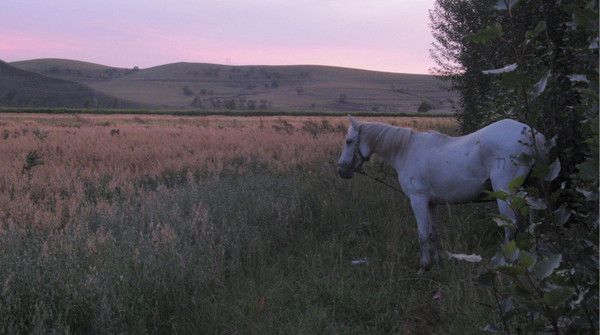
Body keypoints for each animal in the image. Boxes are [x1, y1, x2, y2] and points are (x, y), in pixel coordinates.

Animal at [340, 116, 548, 270]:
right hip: (533, 189)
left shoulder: (418, 200)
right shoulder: (432, 203)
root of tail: (532, 135)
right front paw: (438, 262)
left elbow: (423, 234)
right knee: (534, 219)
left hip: (505, 193)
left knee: (510, 226)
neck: (405, 150)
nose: (341, 170)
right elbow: (433, 233)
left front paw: (424, 266)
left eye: (349, 141)